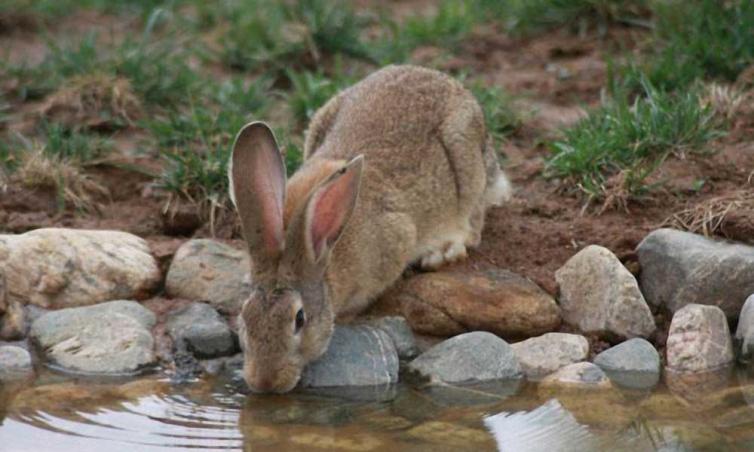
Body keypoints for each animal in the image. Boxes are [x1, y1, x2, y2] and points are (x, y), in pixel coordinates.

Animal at [229, 63, 512, 392]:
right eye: (245, 315)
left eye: (299, 319)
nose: (264, 383)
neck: (321, 256)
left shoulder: (395, 240)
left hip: (465, 158)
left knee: (473, 222)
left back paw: (443, 251)